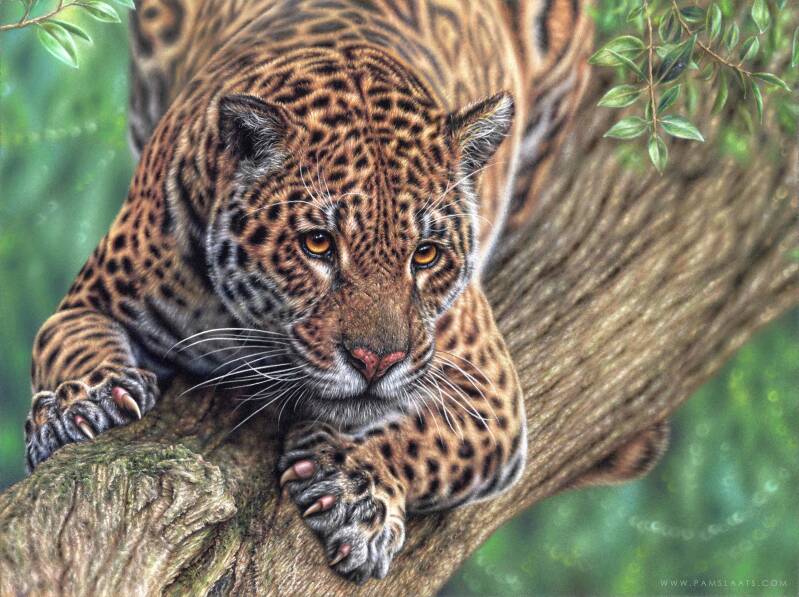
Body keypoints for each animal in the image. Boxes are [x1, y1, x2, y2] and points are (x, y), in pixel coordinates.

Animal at [24, 0, 668, 583]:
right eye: (318, 244)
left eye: (425, 254)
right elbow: (69, 344)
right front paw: (79, 403)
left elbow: (433, 437)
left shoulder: (492, 392)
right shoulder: (87, 301)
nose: (375, 361)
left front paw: (355, 486)